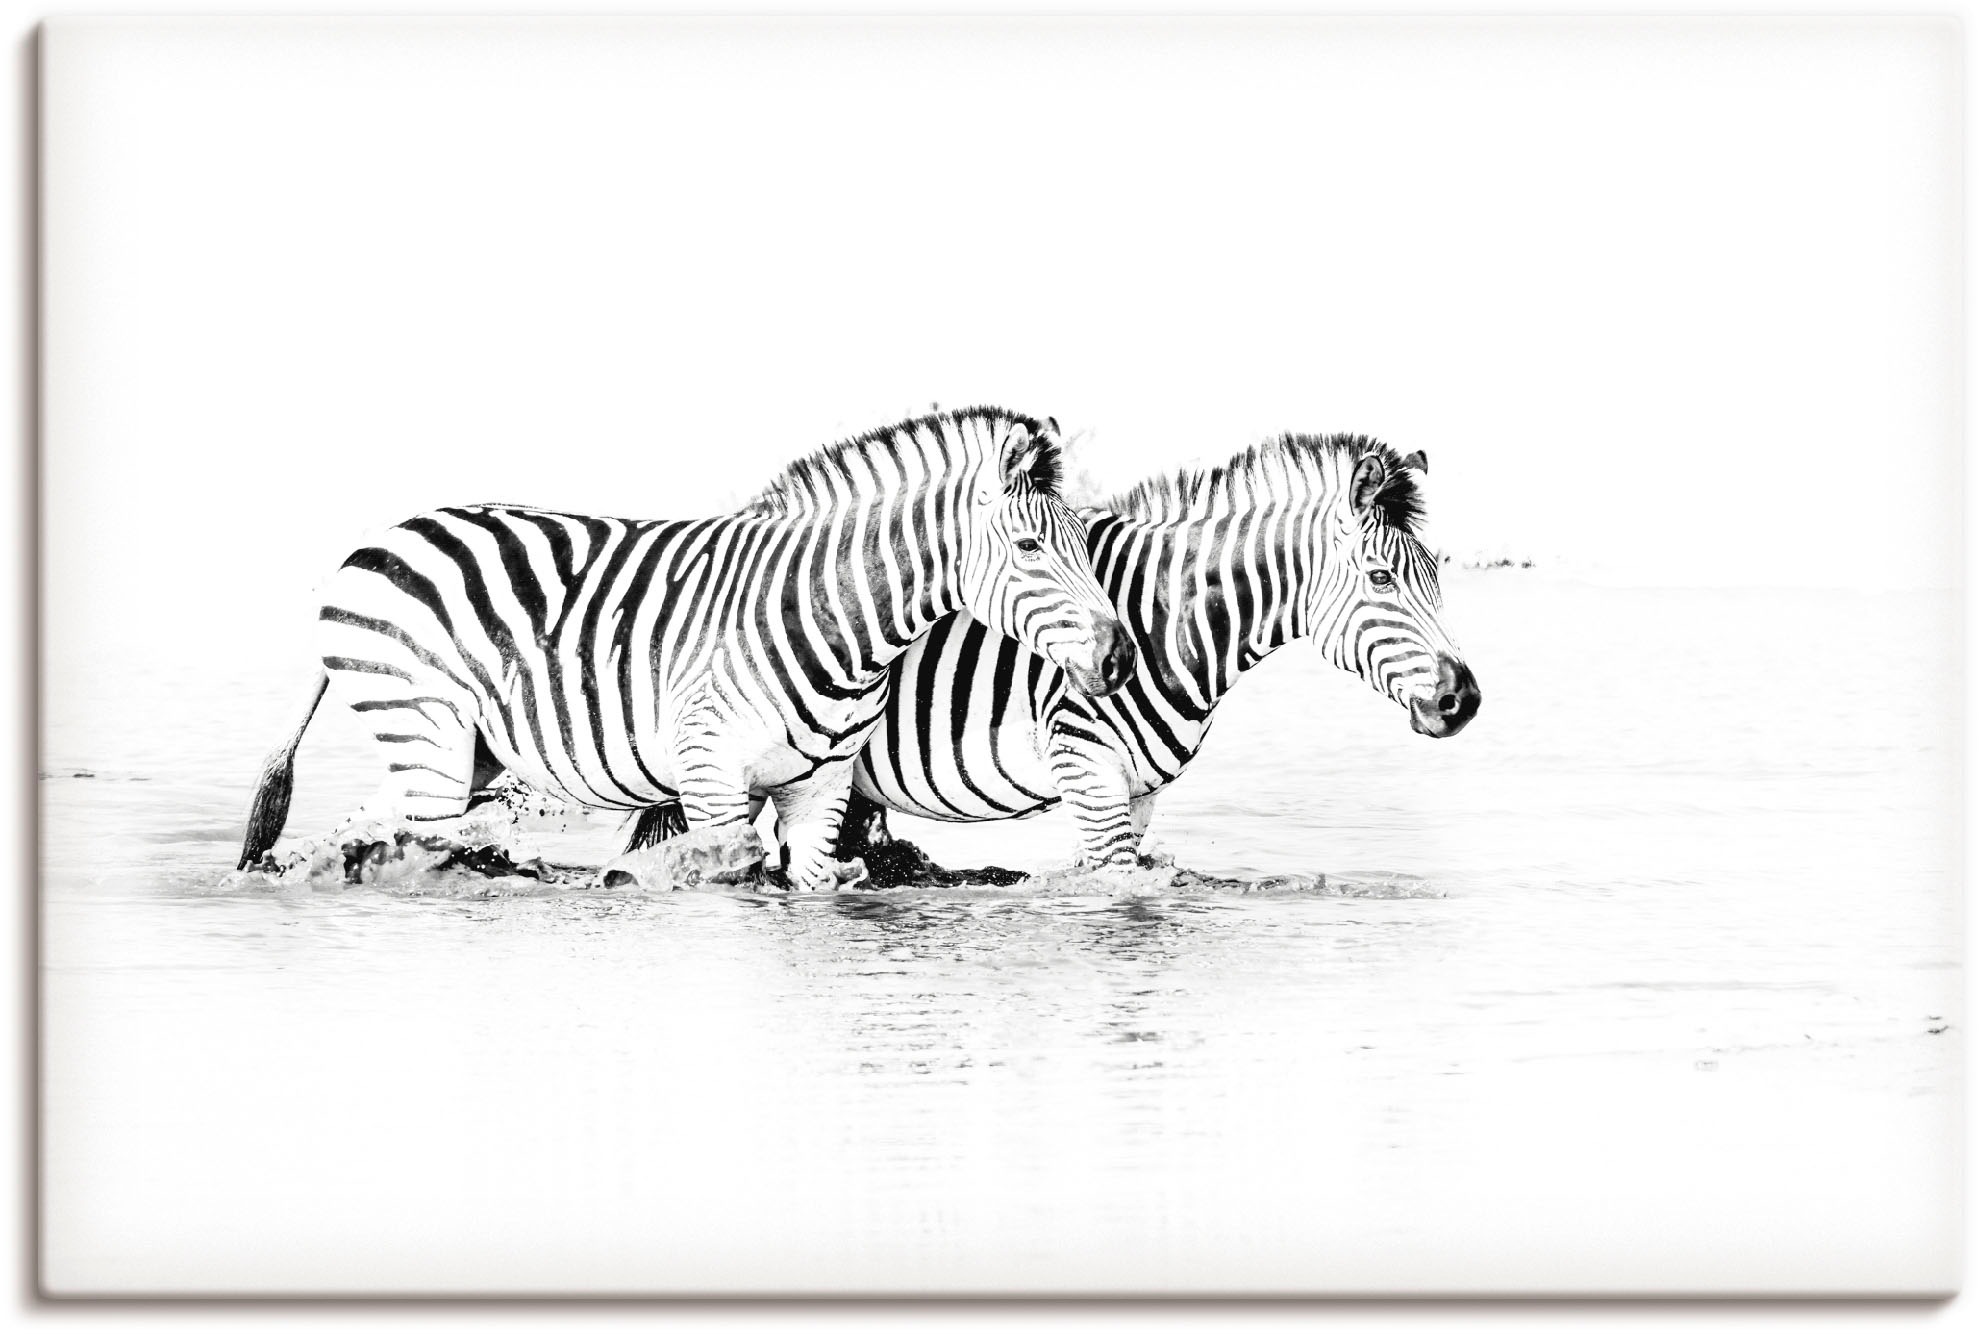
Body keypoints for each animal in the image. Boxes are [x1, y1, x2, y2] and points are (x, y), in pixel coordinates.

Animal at [235, 407, 1136, 891]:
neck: (833, 624)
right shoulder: (711, 781)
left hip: (457, 754)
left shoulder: (819, 792)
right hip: (427, 734)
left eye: (1083, 541)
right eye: (1029, 548)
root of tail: (382, 536)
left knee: (354, 835)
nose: (1120, 661)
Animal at [628, 432, 1479, 867]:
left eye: (1438, 575)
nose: (1464, 701)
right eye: (1381, 579)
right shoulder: (1087, 768)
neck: (1165, 620)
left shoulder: (1140, 792)